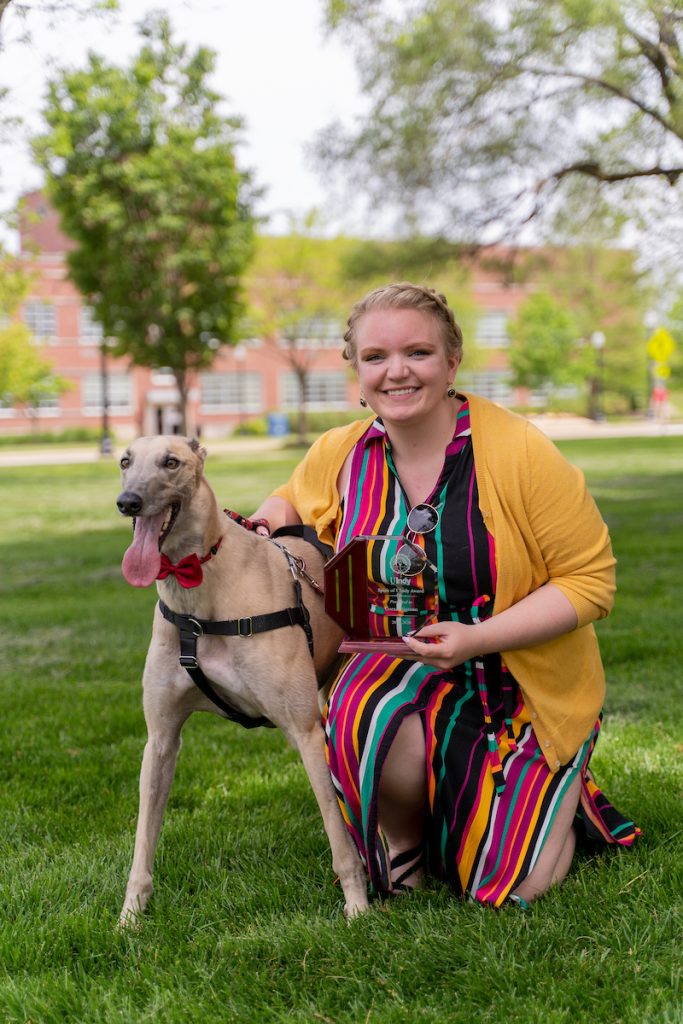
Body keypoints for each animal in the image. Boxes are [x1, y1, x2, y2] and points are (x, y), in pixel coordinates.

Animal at [117, 436, 368, 925]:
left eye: (171, 462)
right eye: (124, 461)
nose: (128, 502)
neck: (199, 595)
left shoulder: (306, 731)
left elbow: (339, 834)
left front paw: (359, 907)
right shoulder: (160, 739)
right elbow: (142, 837)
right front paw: (130, 917)